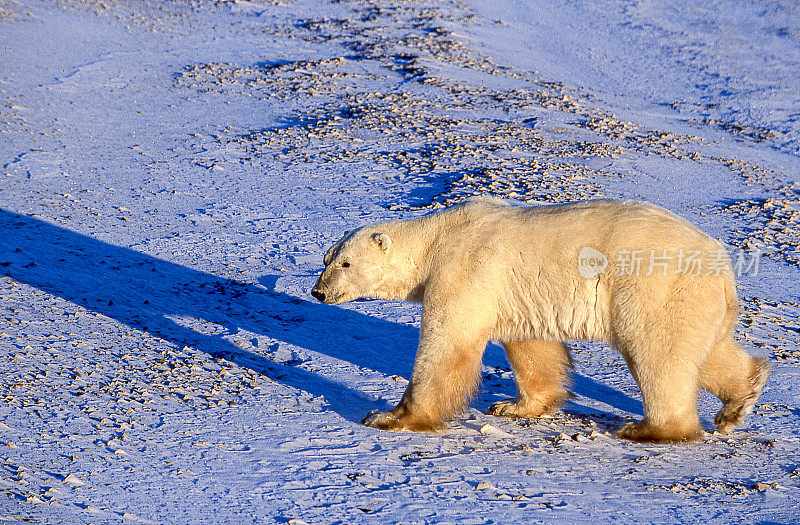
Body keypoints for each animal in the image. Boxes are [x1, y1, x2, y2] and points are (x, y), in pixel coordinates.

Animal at [310, 198, 768, 442]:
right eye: (327, 258)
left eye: (346, 263)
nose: (318, 292)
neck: (439, 235)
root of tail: (723, 268)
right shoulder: (517, 293)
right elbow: (532, 347)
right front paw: (514, 406)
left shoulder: (464, 269)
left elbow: (447, 346)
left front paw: (390, 417)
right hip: (697, 301)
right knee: (706, 351)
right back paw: (738, 402)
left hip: (653, 288)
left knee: (657, 353)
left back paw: (648, 428)